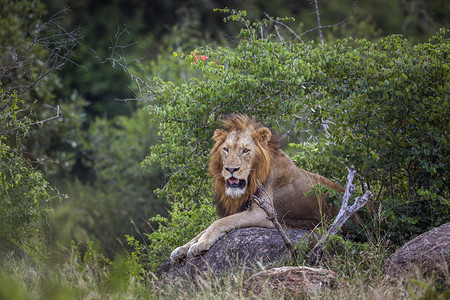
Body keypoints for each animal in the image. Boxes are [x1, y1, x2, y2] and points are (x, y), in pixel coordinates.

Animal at [169, 113, 348, 262]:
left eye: (245, 150)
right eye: (226, 149)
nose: (231, 169)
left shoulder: (263, 213)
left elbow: (219, 222)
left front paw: (201, 244)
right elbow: (205, 228)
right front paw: (183, 248)